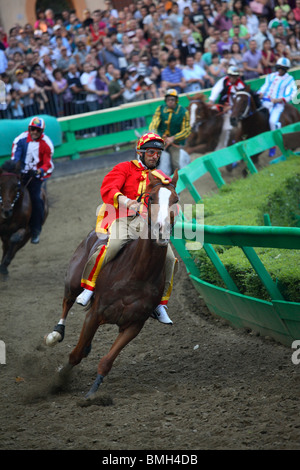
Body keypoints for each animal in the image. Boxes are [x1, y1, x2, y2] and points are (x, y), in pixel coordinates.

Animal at [45, 171, 179, 398]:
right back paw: (56, 333)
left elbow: (107, 361)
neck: (136, 275)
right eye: (150, 198)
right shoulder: (94, 314)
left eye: (175, 200)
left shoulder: (134, 324)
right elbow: (75, 354)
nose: (162, 231)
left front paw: (92, 392)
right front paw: (60, 379)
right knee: (67, 302)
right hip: (73, 281)